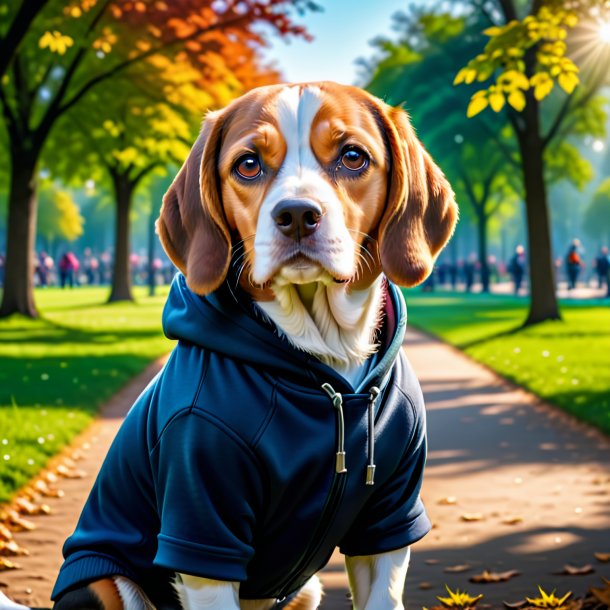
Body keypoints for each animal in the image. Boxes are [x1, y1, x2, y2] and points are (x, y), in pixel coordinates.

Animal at [1, 82, 456, 608]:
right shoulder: (203, 529)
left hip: (308, 589)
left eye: (352, 157)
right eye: (248, 164)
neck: (326, 368)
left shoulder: (387, 522)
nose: (296, 214)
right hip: (108, 583)